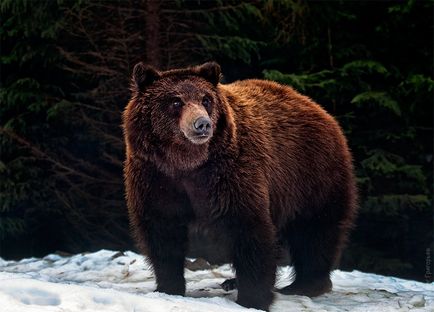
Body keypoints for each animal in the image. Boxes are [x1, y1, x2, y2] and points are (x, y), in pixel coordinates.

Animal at [121, 62, 356, 310]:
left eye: (206, 99)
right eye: (176, 101)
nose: (202, 124)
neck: (187, 163)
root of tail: (319, 109)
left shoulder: (231, 174)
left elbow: (249, 227)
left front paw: (253, 298)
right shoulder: (157, 178)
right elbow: (162, 232)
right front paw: (168, 287)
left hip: (310, 175)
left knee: (314, 230)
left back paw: (305, 284)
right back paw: (233, 282)